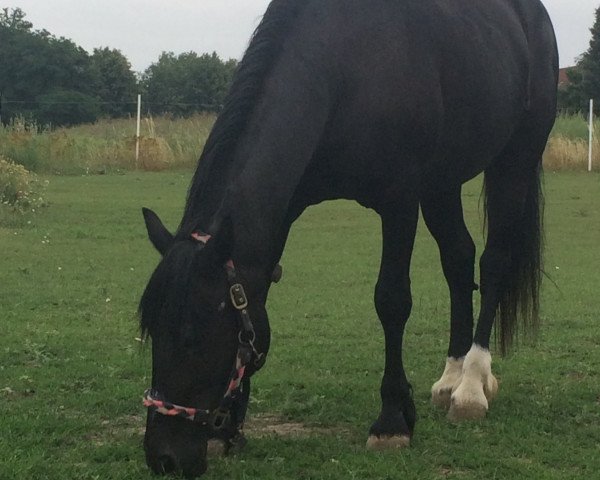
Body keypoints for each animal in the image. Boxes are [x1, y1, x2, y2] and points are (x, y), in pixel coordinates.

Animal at [137, 0, 556, 476]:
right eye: (151, 330)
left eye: (195, 336)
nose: (164, 458)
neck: (343, 68)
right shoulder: (288, 204)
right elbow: (259, 303)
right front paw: (230, 428)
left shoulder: (399, 200)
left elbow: (392, 301)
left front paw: (392, 422)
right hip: (443, 181)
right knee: (458, 259)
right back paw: (450, 379)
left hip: (515, 158)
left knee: (494, 261)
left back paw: (471, 386)